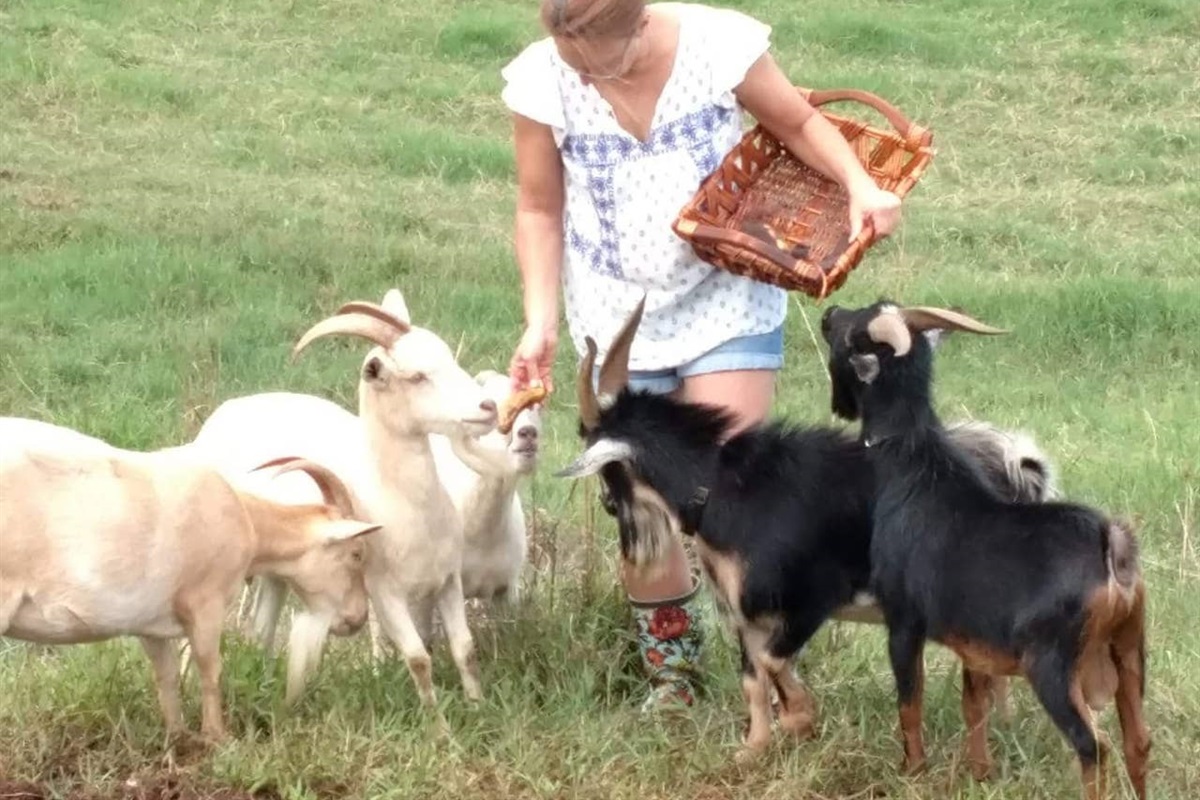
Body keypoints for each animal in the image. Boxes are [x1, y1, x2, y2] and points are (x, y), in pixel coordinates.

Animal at [0, 419, 379, 738]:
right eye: (357, 554)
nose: (357, 618)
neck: (247, 519)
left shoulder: (150, 623)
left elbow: (166, 677)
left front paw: (178, 738)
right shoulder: (205, 601)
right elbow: (210, 668)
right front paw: (218, 738)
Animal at [186, 286, 501, 705]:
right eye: (417, 376)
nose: (488, 407)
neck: (409, 506)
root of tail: (219, 418)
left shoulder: (448, 581)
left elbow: (465, 650)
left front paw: (478, 706)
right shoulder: (385, 593)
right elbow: (418, 658)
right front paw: (436, 718)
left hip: (277, 573)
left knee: (261, 629)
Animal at [556, 297, 1056, 762]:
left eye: (608, 467)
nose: (608, 506)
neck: (723, 489)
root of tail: (1021, 470)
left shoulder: (811, 598)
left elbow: (773, 662)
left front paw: (798, 719)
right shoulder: (746, 614)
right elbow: (752, 679)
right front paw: (753, 750)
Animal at [820, 302, 1147, 800]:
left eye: (853, 333)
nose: (829, 312)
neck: (911, 464)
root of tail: (1112, 550)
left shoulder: (904, 620)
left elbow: (909, 702)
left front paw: (913, 771)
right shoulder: (974, 641)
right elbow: (974, 706)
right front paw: (980, 774)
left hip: (1052, 665)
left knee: (1093, 744)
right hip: (1128, 651)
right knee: (1138, 743)